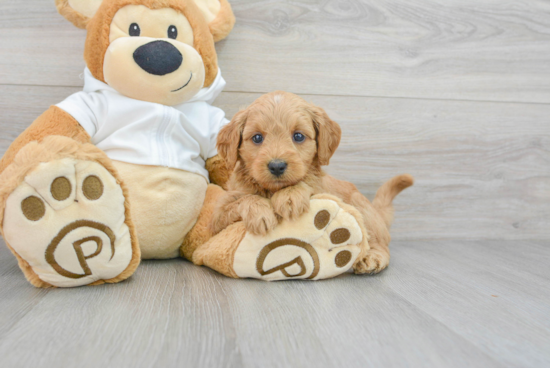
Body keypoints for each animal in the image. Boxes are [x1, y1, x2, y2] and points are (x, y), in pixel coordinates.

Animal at [213, 91, 416, 276]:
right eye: (257, 138)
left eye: (298, 136)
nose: (277, 166)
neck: (271, 191)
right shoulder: (217, 219)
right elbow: (242, 200)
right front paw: (260, 213)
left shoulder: (320, 187)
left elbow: (307, 182)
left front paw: (290, 196)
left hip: (362, 208)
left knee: (380, 243)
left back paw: (372, 258)